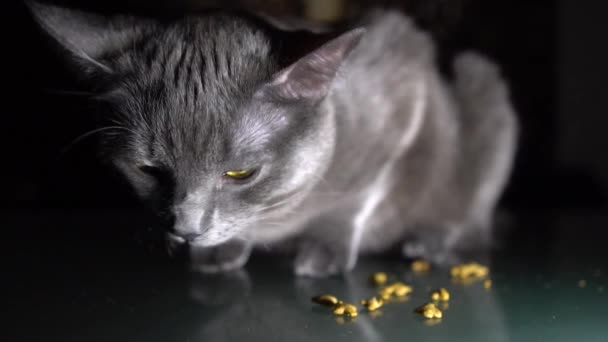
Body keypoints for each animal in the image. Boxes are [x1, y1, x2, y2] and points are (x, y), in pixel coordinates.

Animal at [30, 2, 516, 276]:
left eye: (241, 173)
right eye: (147, 169)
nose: (186, 229)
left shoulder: (405, 100)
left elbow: (358, 198)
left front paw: (324, 251)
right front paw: (220, 254)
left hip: (485, 97)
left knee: (473, 216)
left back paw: (429, 242)